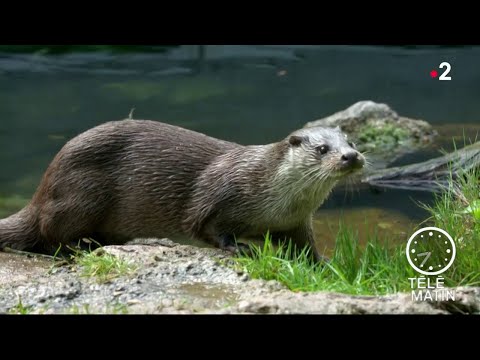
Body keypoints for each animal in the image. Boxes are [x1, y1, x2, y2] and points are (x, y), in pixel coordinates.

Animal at [0, 119, 364, 260]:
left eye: (352, 142)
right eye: (322, 149)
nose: (350, 157)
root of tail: (42, 189)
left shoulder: (296, 223)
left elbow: (304, 246)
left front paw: (322, 261)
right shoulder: (218, 195)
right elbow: (206, 228)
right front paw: (239, 248)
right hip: (82, 193)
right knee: (51, 233)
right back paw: (83, 246)